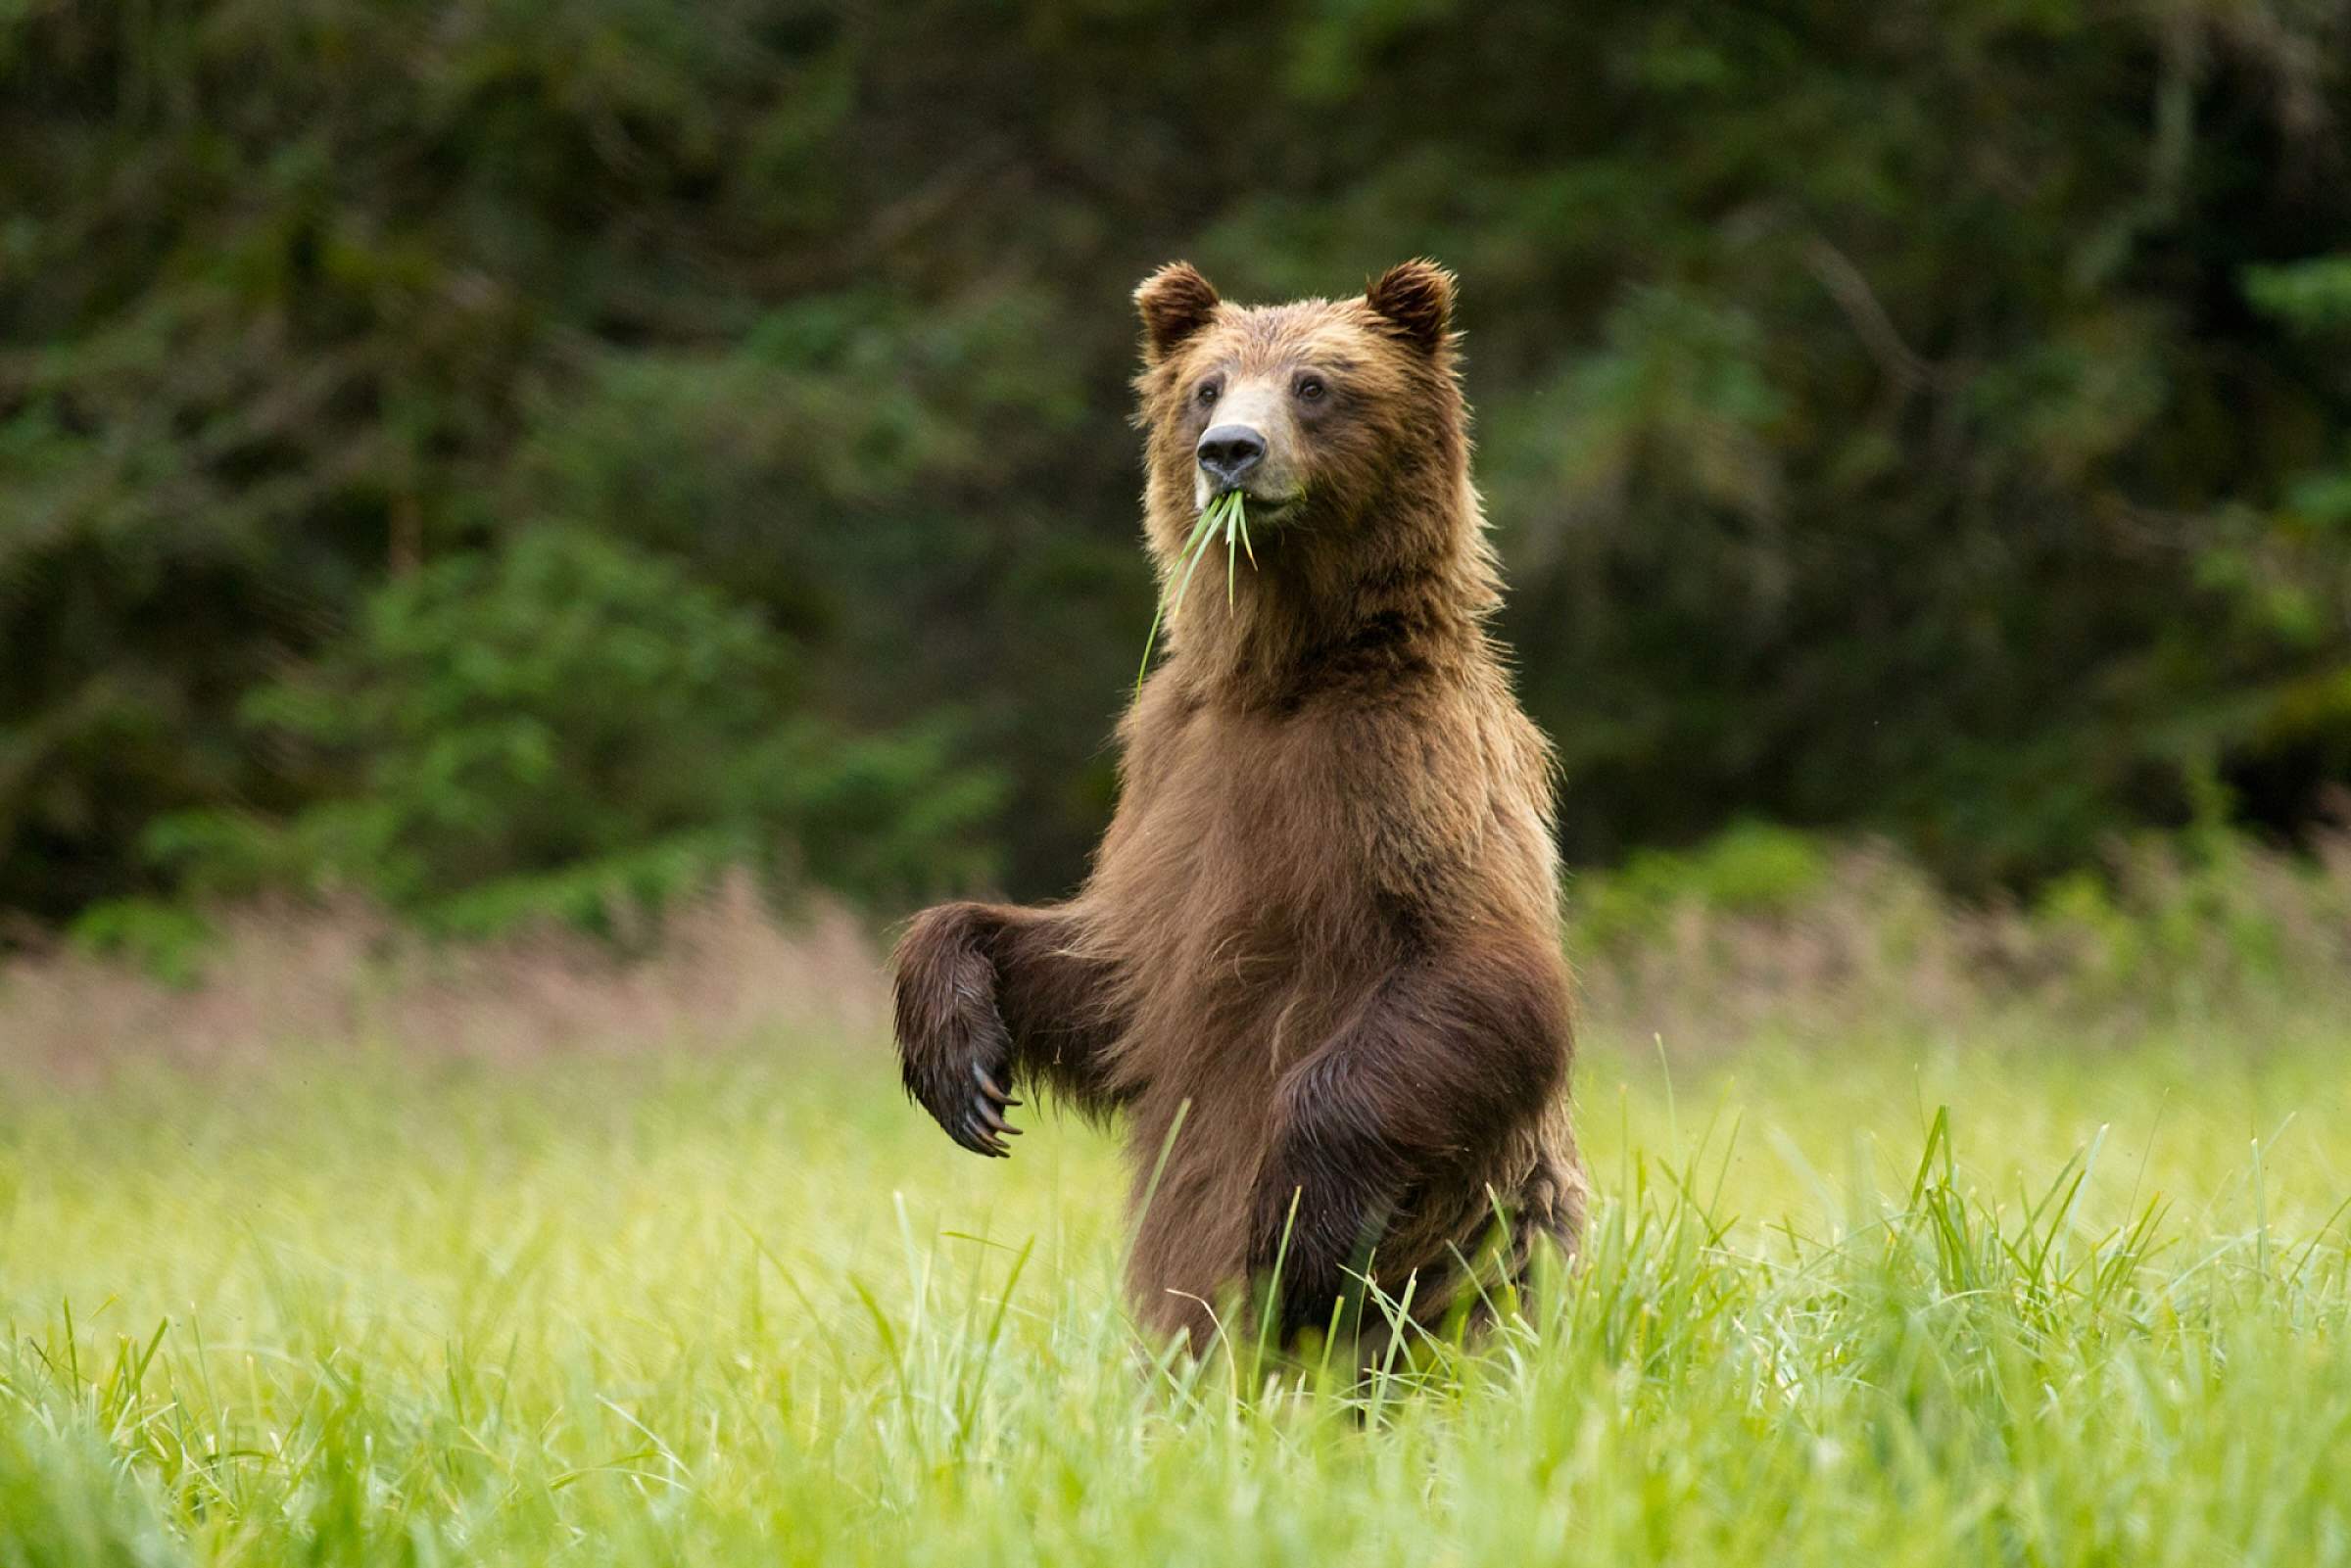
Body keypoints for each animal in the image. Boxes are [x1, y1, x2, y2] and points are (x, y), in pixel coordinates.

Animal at [892, 259, 1584, 1361]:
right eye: (1207, 386)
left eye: (1316, 384)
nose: (1229, 453)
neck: (1286, 670)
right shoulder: (1169, 777)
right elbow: (1109, 975)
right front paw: (959, 1057)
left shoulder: (1407, 767)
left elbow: (1487, 973)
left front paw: (1298, 1223)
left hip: (1468, 1267)